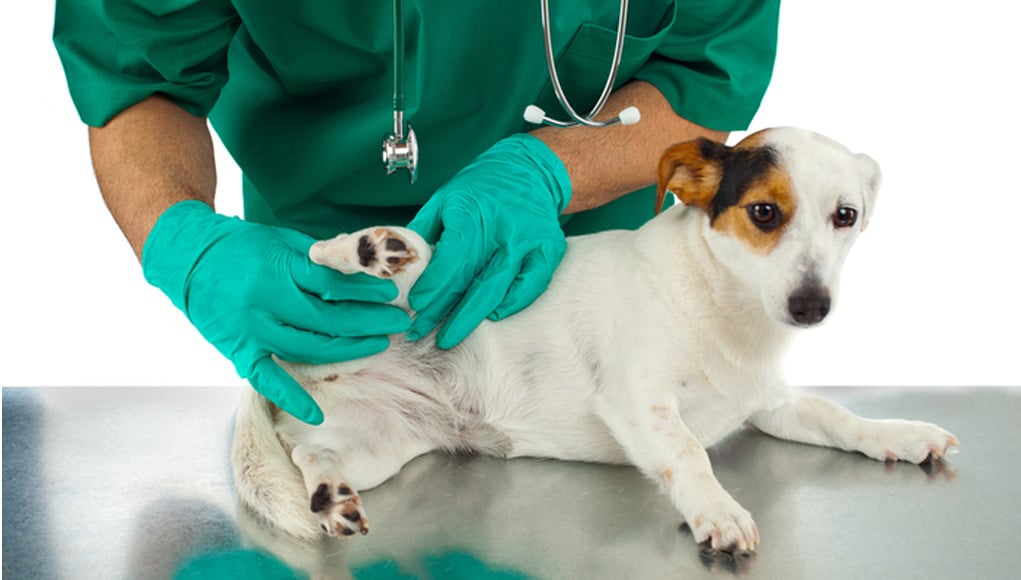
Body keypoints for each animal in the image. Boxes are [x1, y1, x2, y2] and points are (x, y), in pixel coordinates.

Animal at [231, 129, 955, 555]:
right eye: (764, 212)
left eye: (846, 216)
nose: (812, 306)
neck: (722, 306)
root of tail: (286, 365)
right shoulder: (639, 403)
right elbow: (690, 456)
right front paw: (717, 511)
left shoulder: (770, 404)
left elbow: (837, 416)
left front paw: (900, 435)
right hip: (398, 283)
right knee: (327, 260)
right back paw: (368, 248)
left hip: (379, 442)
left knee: (314, 455)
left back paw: (331, 497)